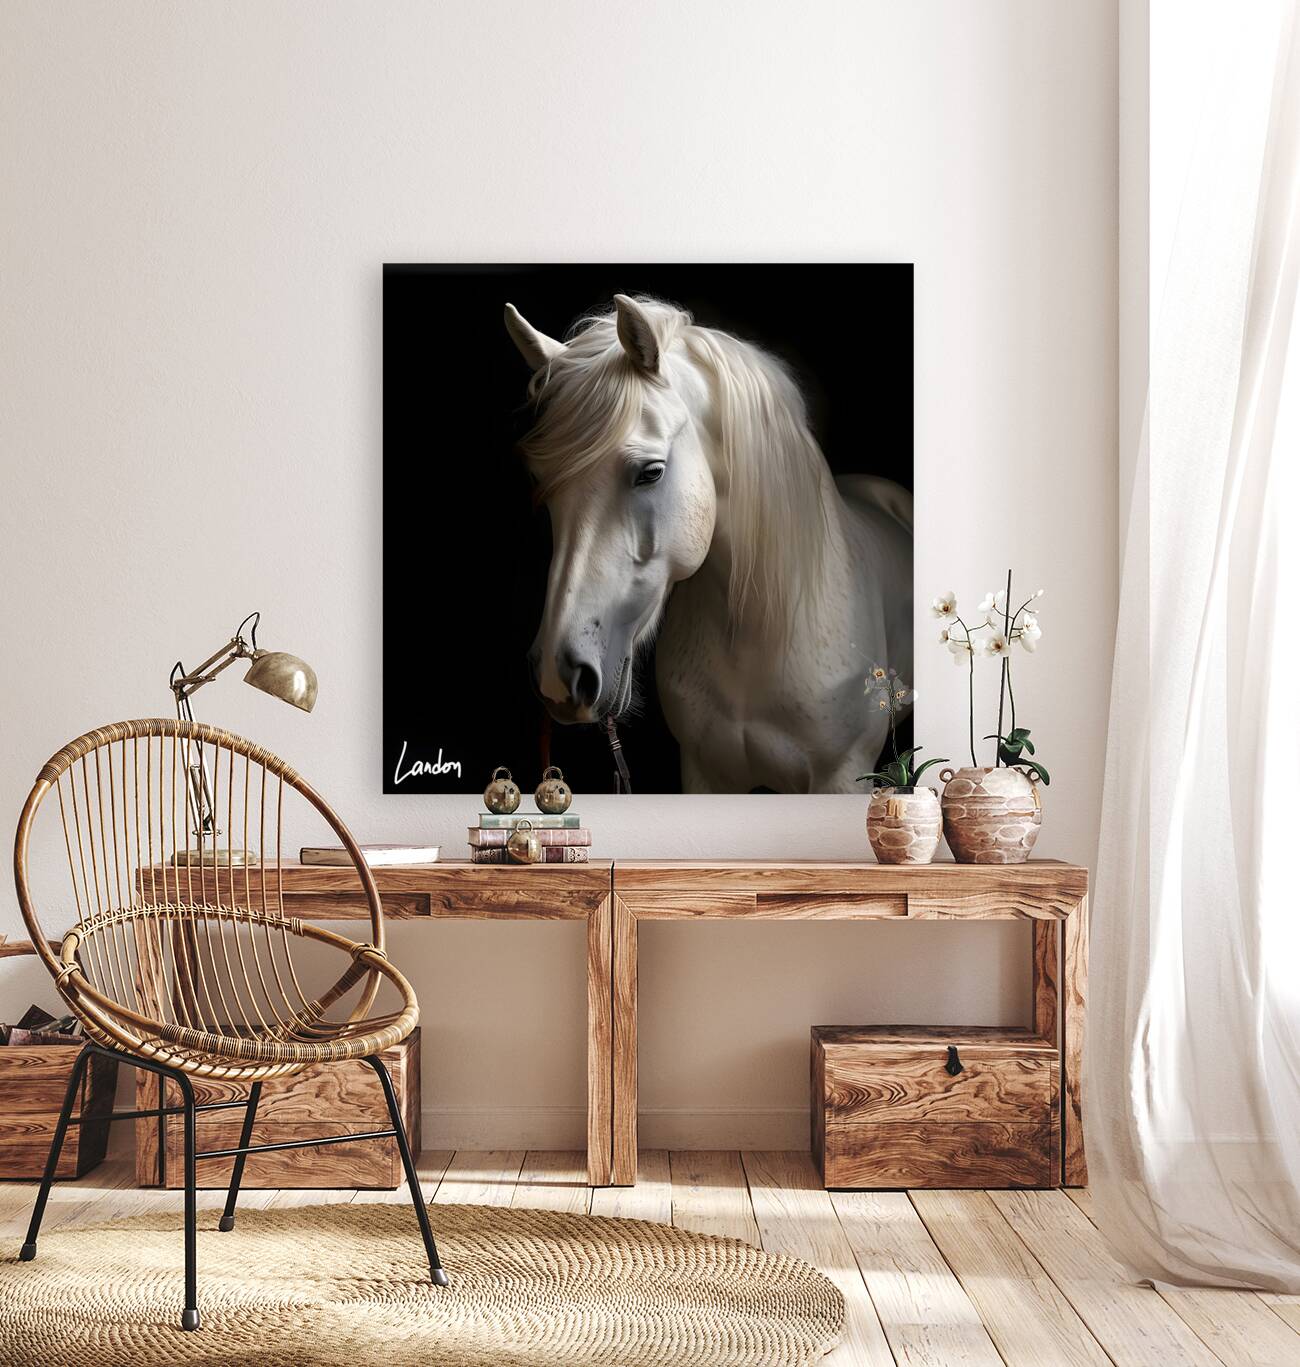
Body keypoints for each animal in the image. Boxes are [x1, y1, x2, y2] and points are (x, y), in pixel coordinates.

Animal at [505, 293, 912, 793]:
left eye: (651, 472)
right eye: (539, 482)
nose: (557, 676)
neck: (759, 633)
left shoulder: (842, 776)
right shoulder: (705, 773)